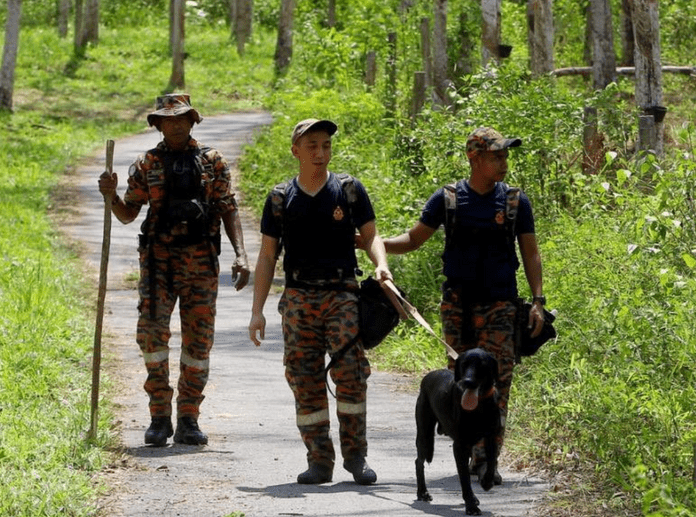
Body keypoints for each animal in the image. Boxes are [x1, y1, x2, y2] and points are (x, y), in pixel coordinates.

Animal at [414, 348, 500, 512]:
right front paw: (471, 506)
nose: (467, 381)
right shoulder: (460, 446)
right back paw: (423, 492)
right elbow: (464, 478)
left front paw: (487, 482)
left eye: (482, 364)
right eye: (464, 364)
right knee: (418, 462)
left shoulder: (492, 437)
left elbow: (491, 461)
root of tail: (428, 376)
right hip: (425, 436)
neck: (479, 407)